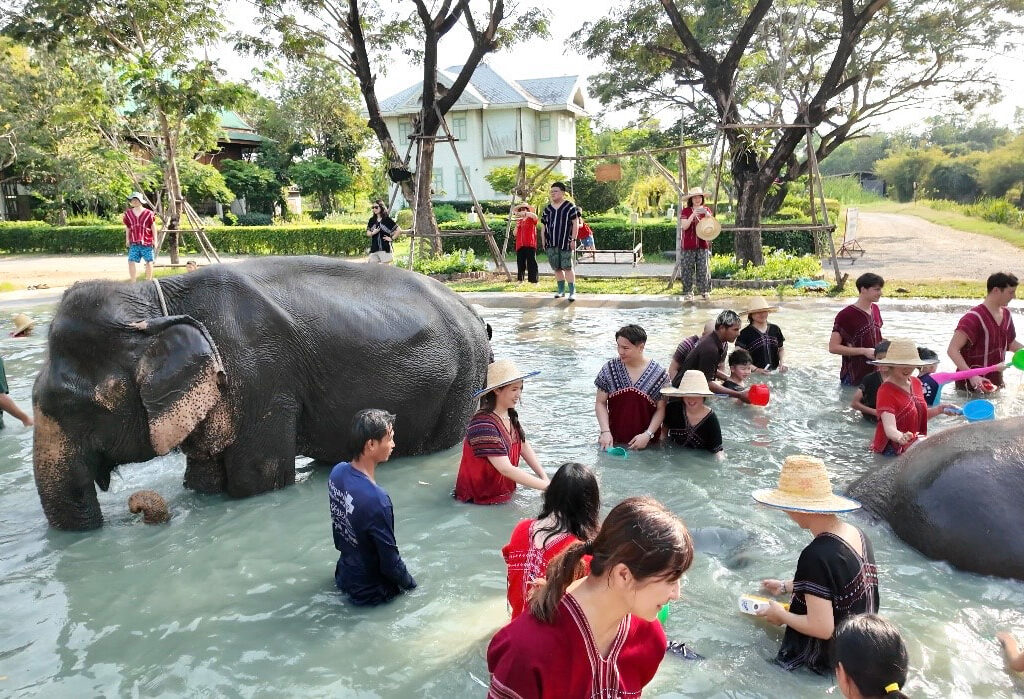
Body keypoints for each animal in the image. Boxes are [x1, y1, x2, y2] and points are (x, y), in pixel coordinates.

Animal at [33, 256, 491, 530]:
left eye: (77, 406)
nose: (138, 508)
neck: (156, 299)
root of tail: (472, 311)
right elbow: (203, 479)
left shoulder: (260, 379)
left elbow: (257, 479)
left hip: (463, 380)